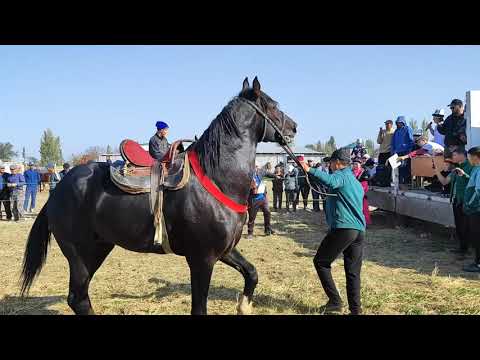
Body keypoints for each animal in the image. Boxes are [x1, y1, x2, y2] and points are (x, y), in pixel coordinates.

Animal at [21, 76, 296, 316]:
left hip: (99, 248)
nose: (293, 126)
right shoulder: (202, 259)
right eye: (273, 106)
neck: (216, 177)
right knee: (78, 297)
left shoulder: (225, 250)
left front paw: (244, 306)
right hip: (79, 253)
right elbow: (199, 308)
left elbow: (252, 273)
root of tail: (59, 189)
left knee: (79, 297)